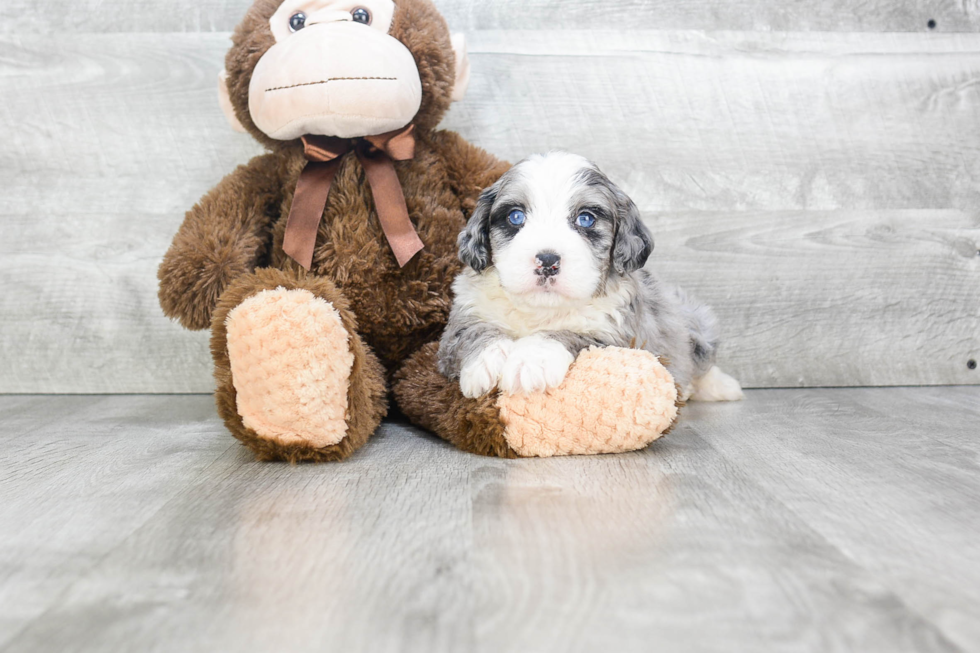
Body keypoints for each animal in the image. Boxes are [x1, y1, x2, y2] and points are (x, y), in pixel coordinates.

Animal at [436, 152, 744, 402]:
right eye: (515, 216)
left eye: (586, 219)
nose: (547, 261)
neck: (541, 311)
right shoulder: (458, 323)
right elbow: (473, 331)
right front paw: (486, 362)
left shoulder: (617, 337)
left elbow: (570, 334)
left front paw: (531, 362)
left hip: (697, 323)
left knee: (703, 365)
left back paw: (722, 387)